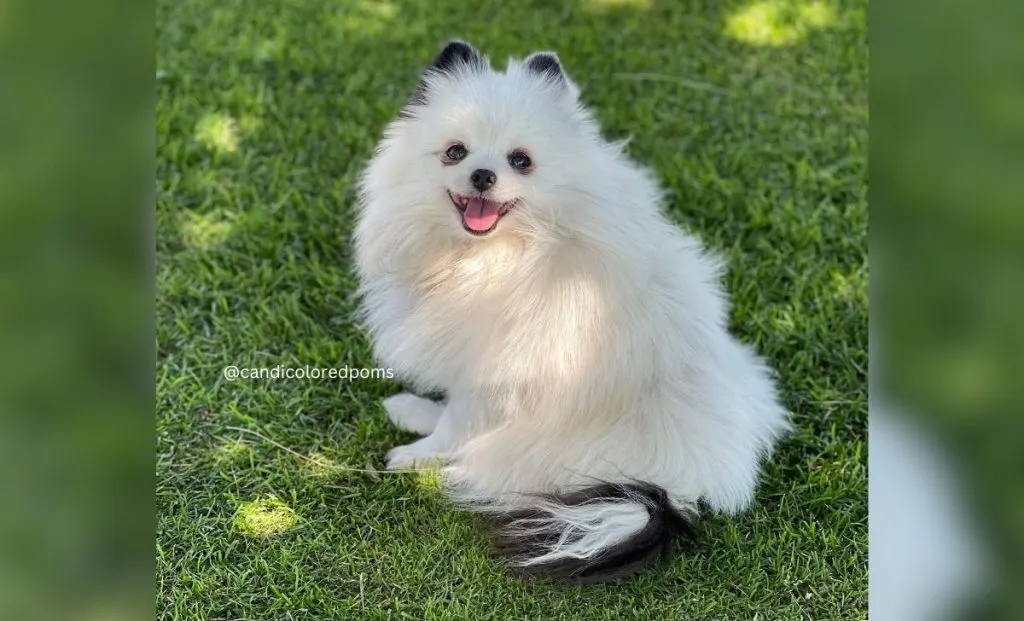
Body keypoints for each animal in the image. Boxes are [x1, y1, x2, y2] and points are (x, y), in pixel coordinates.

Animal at [352, 41, 790, 586]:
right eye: (455, 151)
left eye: (521, 161)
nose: (482, 175)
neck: (497, 253)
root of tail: (689, 493)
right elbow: (451, 407)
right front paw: (417, 416)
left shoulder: (497, 373)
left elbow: (456, 426)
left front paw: (416, 457)